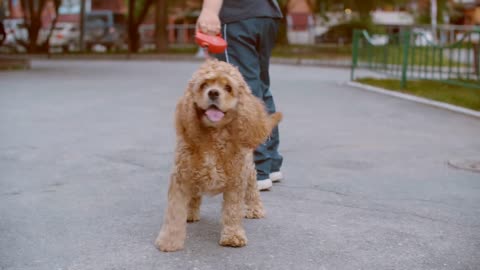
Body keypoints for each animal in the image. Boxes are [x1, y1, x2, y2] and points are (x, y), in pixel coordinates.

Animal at [154, 58, 282, 251]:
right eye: (203, 85)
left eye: (228, 87)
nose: (213, 93)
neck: (214, 135)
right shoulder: (182, 177)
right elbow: (174, 213)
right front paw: (169, 241)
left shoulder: (236, 180)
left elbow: (232, 210)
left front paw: (233, 236)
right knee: (195, 196)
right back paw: (190, 212)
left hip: (249, 170)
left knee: (252, 190)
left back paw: (255, 209)